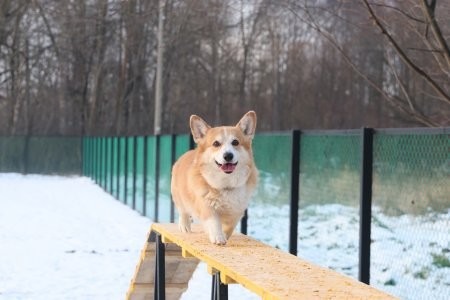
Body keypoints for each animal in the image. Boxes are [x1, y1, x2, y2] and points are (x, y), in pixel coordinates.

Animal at [171, 111, 258, 245]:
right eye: (216, 143)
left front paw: (225, 236)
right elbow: (214, 222)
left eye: (235, 142)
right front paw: (218, 237)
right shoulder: (206, 206)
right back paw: (185, 225)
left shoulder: (237, 211)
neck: (226, 183)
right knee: (183, 210)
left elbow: (230, 226)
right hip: (178, 195)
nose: (228, 155)